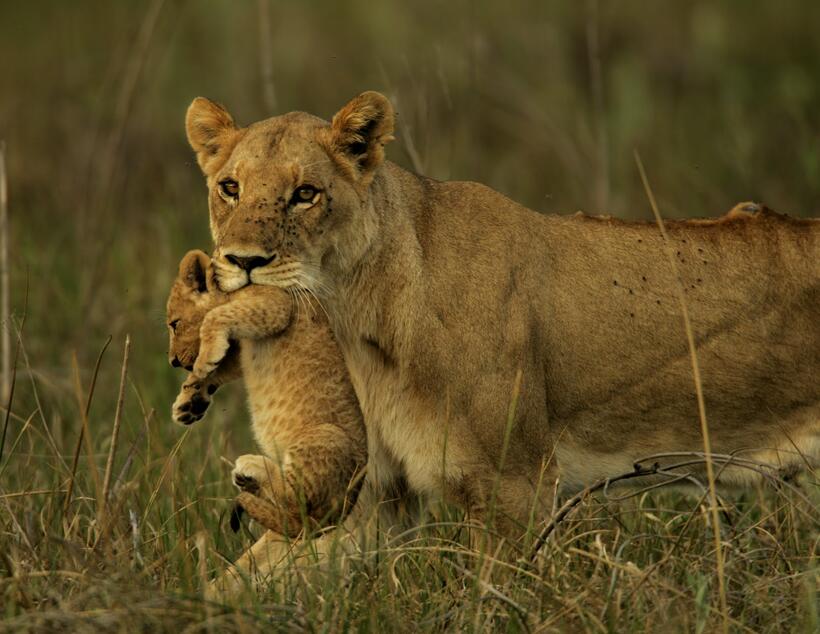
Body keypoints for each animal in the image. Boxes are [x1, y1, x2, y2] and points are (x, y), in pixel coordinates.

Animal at [166, 249, 367, 536]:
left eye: (174, 324)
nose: (172, 361)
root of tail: (344, 508)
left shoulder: (276, 306)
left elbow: (213, 320)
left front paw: (204, 361)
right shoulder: (242, 345)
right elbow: (221, 367)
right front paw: (189, 403)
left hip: (327, 436)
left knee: (294, 502)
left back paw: (252, 467)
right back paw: (249, 480)